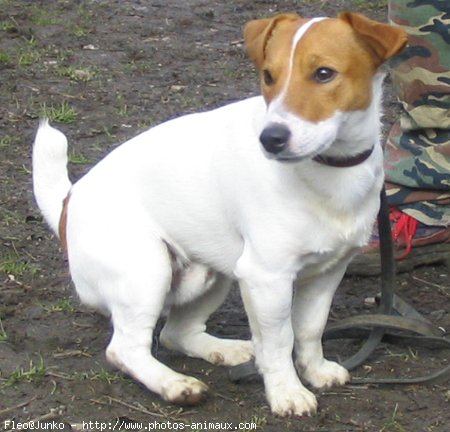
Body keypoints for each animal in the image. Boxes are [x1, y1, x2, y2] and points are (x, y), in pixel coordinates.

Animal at [33, 12, 408, 416]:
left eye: (324, 73)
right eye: (268, 75)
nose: (271, 139)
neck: (329, 170)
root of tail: (68, 202)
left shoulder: (328, 271)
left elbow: (310, 328)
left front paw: (316, 370)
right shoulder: (266, 276)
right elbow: (280, 341)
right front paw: (286, 391)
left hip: (210, 274)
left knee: (176, 332)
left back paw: (226, 350)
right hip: (147, 270)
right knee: (125, 349)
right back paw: (175, 385)